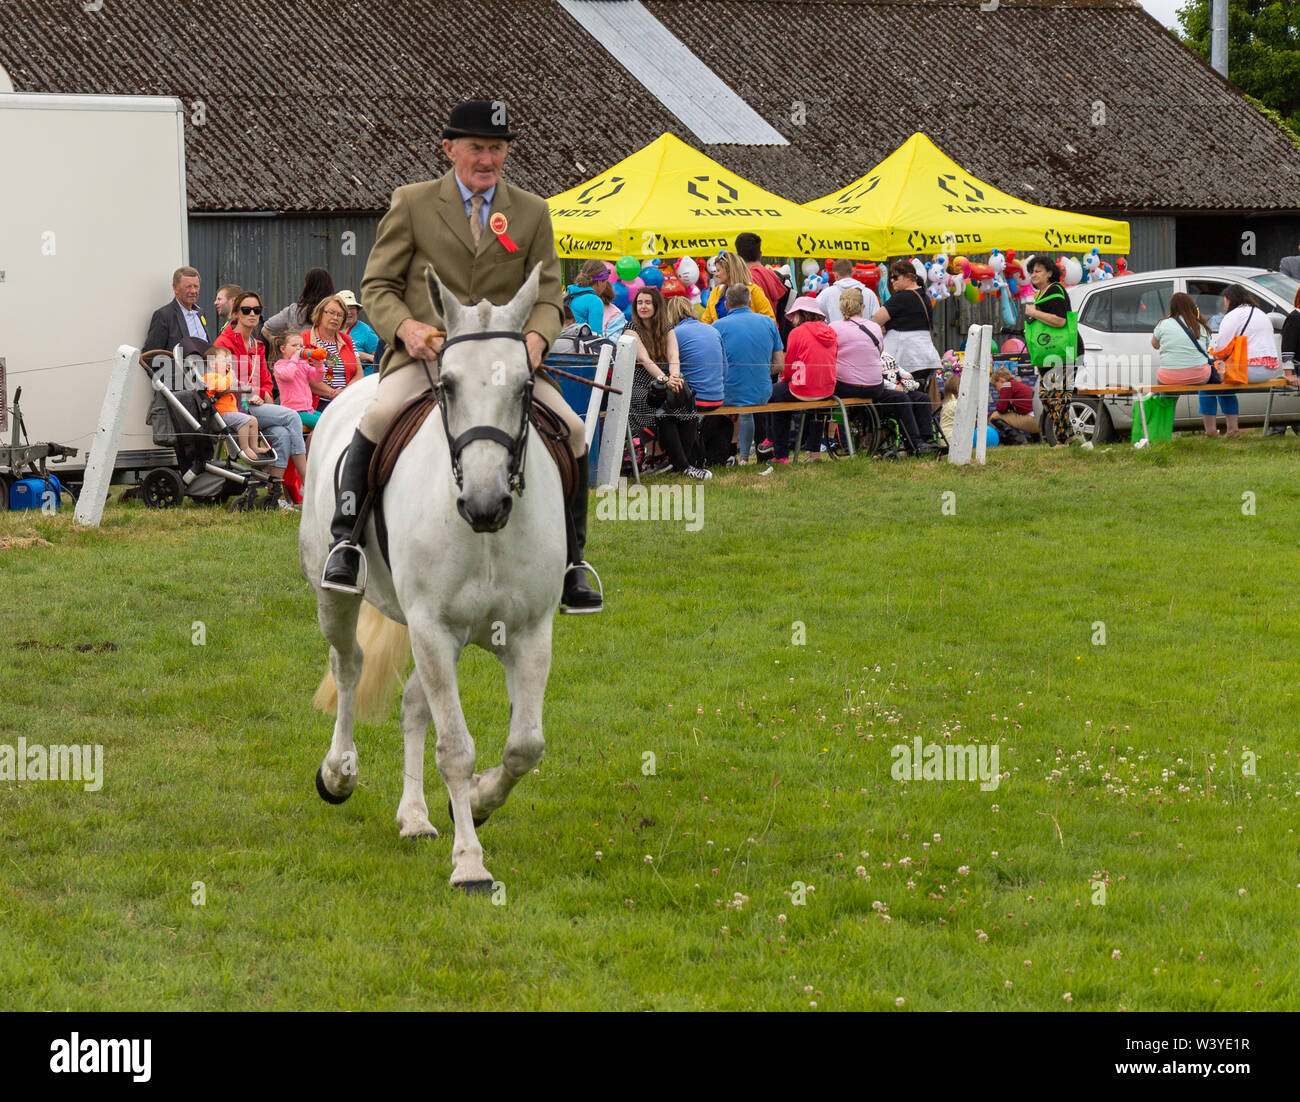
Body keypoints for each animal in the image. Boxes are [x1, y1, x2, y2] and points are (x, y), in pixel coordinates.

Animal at [306, 262, 572, 888]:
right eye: (447, 384)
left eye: (525, 387)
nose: (484, 505)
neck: (486, 535)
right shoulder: (431, 628)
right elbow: (456, 748)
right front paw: (470, 863)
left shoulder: (527, 633)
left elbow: (525, 745)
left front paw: (475, 802)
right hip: (337, 596)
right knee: (348, 665)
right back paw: (339, 773)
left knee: (412, 704)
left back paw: (416, 817)